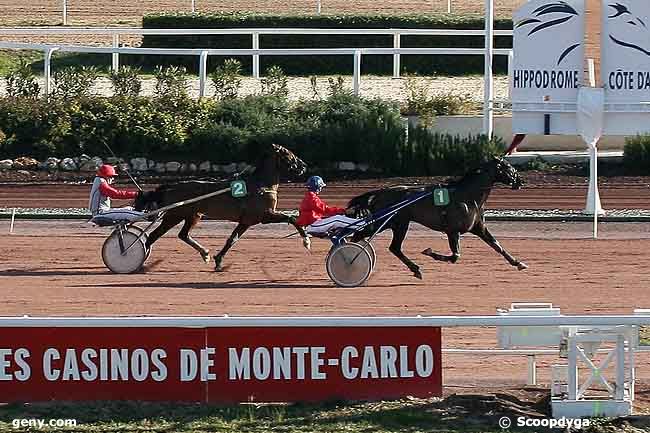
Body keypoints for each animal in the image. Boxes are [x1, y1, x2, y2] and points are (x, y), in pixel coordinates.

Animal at [133, 143, 310, 270]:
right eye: (288, 154)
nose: (303, 166)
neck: (260, 185)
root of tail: (171, 187)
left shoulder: (247, 221)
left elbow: (232, 239)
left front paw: (218, 260)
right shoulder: (264, 215)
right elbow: (292, 218)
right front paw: (306, 241)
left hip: (193, 215)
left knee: (183, 235)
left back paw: (204, 253)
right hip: (174, 215)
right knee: (152, 236)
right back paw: (137, 261)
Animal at [346, 157, 524, 278]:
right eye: (509, 167)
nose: (521, 181)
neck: (467, 195)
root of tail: (380, 192)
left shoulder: (478, 228)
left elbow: (497, 245)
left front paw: (518, 263)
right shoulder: (452, 231)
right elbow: (455, 256)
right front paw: (430, 252)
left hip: (398, 224)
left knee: (393, 247)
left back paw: (415, 269)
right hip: (388, 223)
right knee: (363, 237)